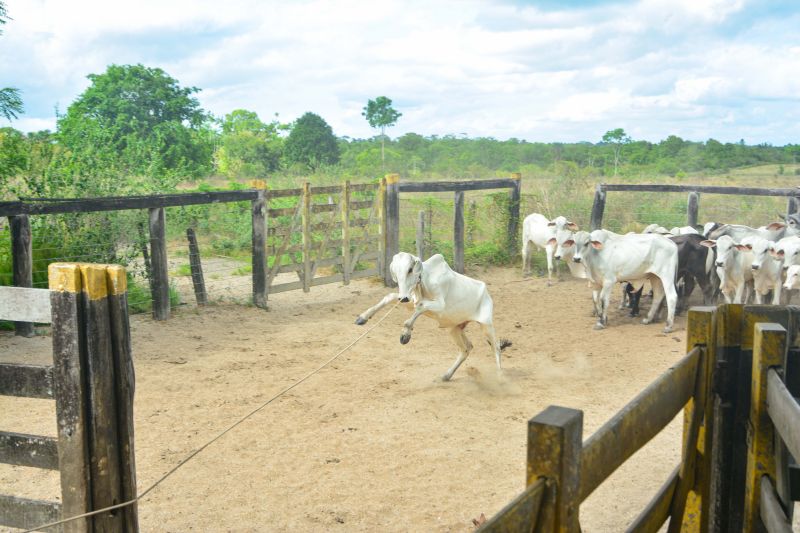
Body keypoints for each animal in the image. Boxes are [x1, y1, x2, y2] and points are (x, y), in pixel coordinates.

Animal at [354, 251, 500, 380]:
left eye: (410, 269)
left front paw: (405, 334)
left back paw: (500, 378)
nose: (403, 298)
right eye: (395, 271)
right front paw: (363, 317)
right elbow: (390, 297)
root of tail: (487, 294)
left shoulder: (439, 305)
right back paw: (447, 375)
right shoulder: (410, 300)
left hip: (486, 326)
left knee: (496, 348)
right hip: (454, 328)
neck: (424, 281)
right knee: (467, 348)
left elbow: (420, 307)